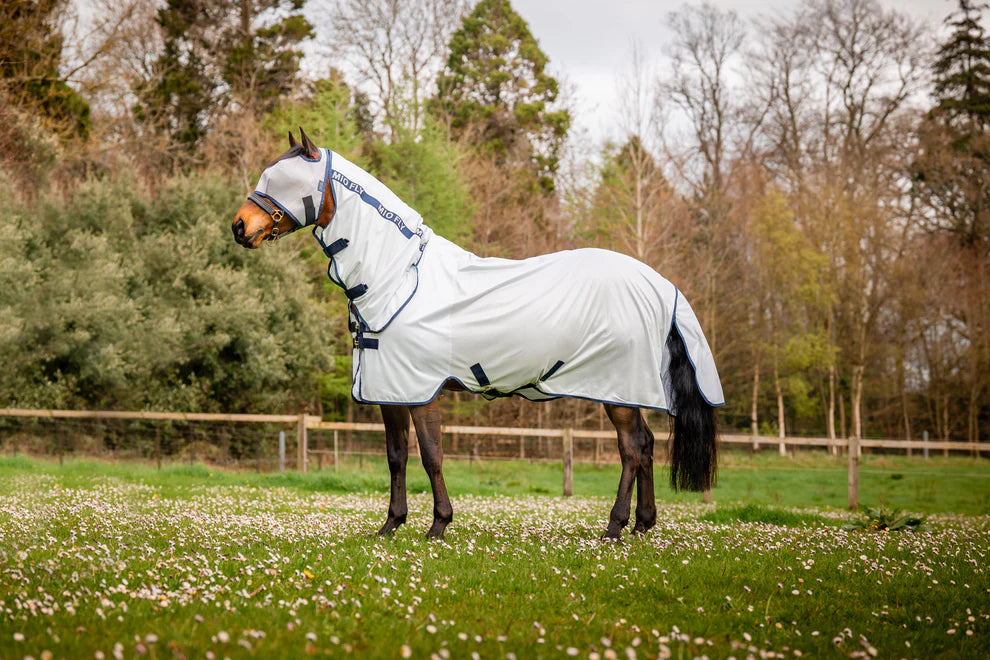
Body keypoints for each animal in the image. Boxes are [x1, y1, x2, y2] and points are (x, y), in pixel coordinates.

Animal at [234, 129, 728, 540]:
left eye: (285, 180)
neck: (400, 278)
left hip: (617, 389)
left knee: (631, 449)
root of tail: (661, 285)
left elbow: (431, 455)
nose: (239, 227)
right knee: (646, 446)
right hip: (628, 390)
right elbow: (396, 457)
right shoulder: (390, 391)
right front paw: (391, 525)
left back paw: (614, 527)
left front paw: (438, 525)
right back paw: (643, 525)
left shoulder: (422, 391)